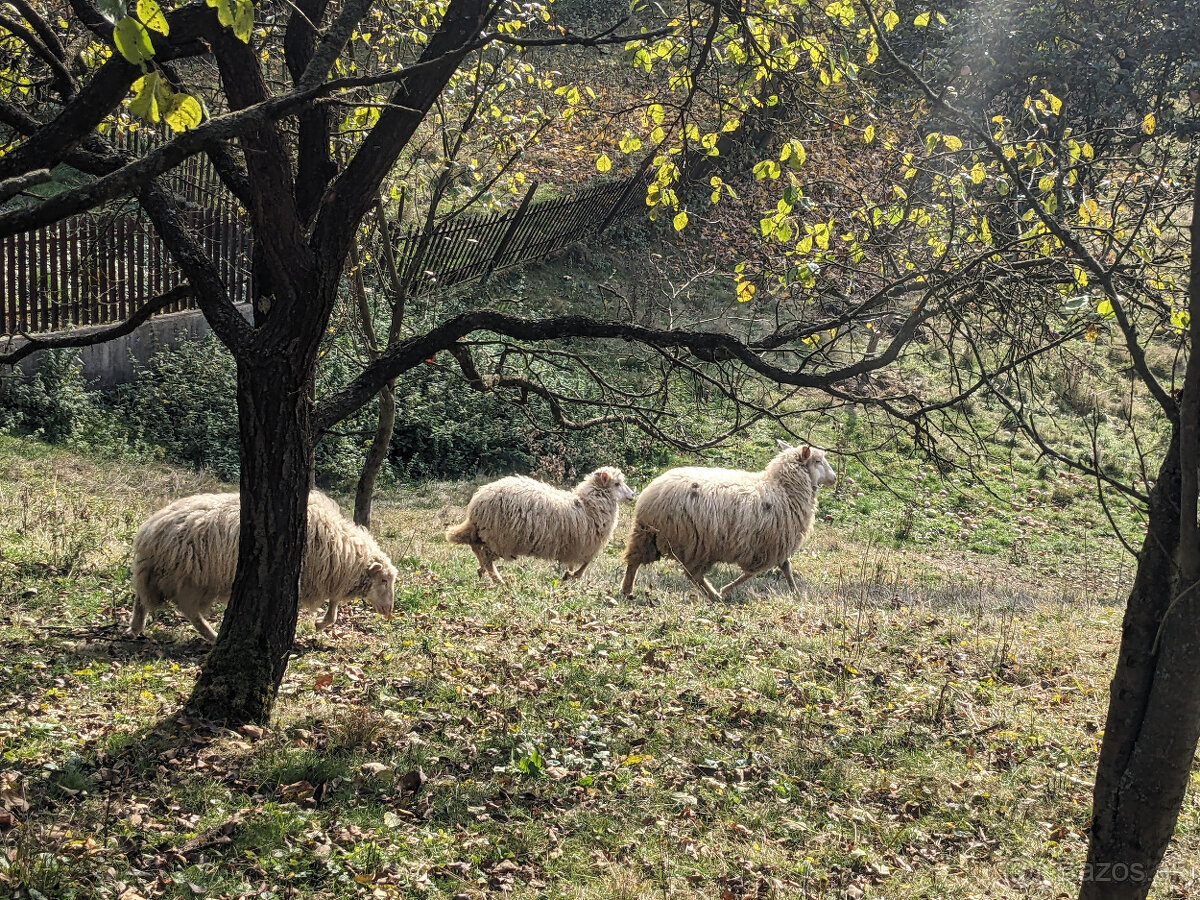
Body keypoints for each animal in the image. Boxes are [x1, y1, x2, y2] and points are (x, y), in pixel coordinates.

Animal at [129, 489, 396, 643]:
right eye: (384, 581)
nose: (389, 611)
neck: (341, 547)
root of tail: (150, 530)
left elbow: (334, 603)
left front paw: (321, 623)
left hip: (160, 574)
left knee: (141, 598)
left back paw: (135, 628)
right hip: (190, 580)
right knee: (189, 611)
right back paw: (213, 636)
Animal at [446, 465, 638, 585]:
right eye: (617, 484)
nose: (632, 496)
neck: (586, 505)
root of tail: (477, 502)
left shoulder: (574, 546)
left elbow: (576, 563)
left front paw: (568, 575)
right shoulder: (583, 545)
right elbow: (585, 563)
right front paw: (574, 575)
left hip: (487, 533)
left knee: (476, 547)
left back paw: (483, 572)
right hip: (500, 538)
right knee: (484, 554)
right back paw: (497, 579)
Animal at [624, 441, 840, 602]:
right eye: (818, 460)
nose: (834, 477)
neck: (784, 489)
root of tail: (649, 496)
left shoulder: (774, 543)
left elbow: (786, 567)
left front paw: (795, 591)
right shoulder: (769, 544)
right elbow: (754, 572)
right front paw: (727, 588)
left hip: (649, 535)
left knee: (635, 560)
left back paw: (627, 590)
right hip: (695, 542)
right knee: (693, 574)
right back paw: (715, 595)